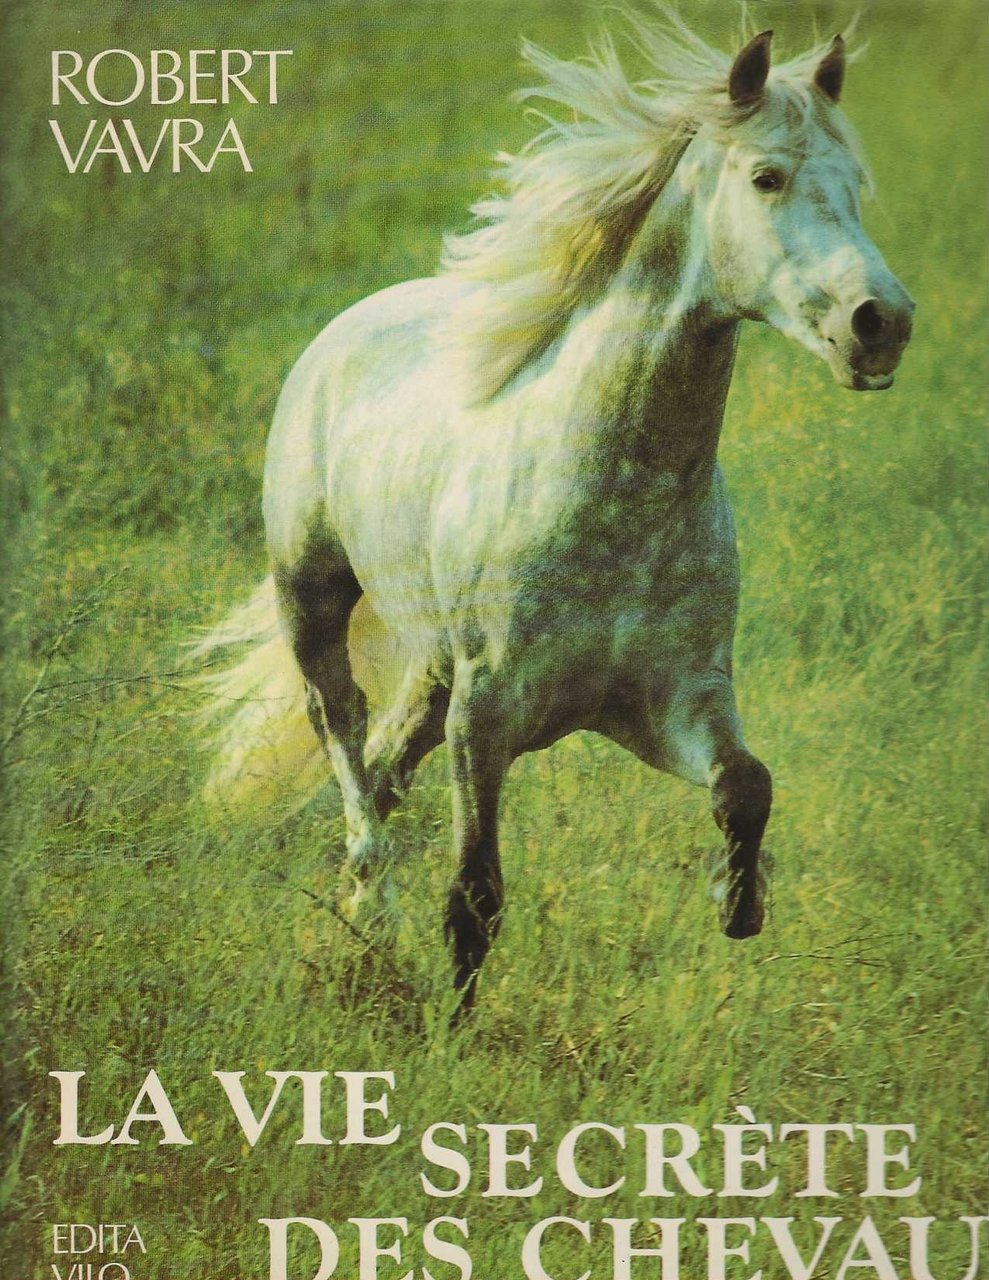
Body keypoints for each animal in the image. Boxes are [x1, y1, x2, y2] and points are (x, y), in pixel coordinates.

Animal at [198, 14, 913, 1011]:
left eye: (853, 184)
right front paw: (450, 1029)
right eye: (766, 177)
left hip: (432, 665)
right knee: (341, 736)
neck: (615, 499)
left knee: (384, 762)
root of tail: (351, 323)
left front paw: (738, 904)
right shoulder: (489, 713)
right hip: (314, 598)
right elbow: (475, 895)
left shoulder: (670, 700)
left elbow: (746, 785)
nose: (880, 323)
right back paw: (370, 905)